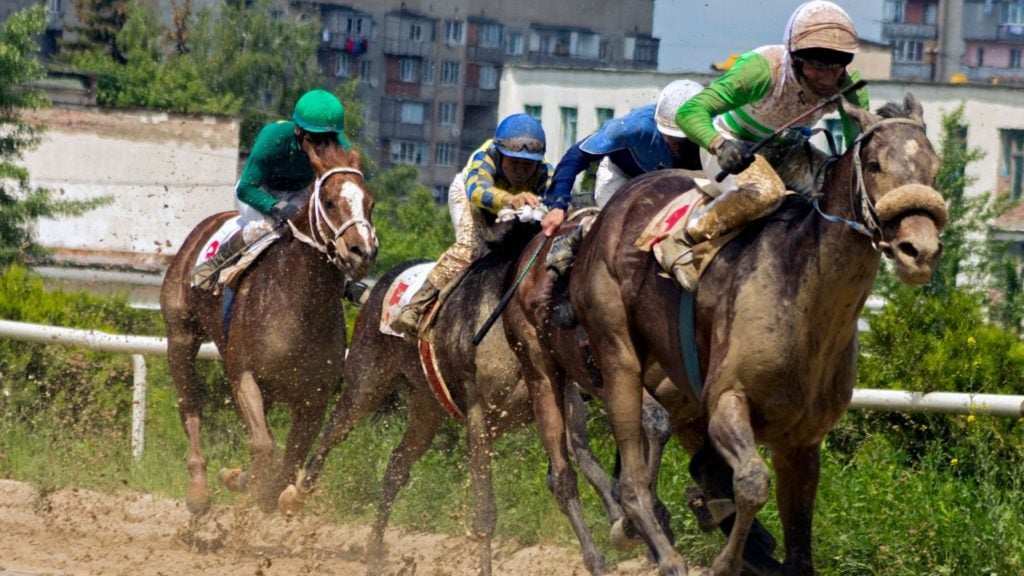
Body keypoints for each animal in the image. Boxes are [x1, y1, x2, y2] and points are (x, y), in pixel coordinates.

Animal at [161, 141, 378, 512]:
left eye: (370, 203)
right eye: (330, 201)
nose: (361, 251)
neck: (299, 310)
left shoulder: (314, 398)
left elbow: (289, 461)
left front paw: (261, 488)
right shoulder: (244, 375)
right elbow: (265, 449)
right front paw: (250, 489)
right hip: (181, 336)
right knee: (190, 406)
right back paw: (199, 490)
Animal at [565, 95, 946, 573]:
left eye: (935, 168)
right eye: (875, 164)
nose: (920, 251)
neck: (805, 304)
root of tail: (610, 212)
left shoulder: (802, 440)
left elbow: (797, 533)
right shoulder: (726, 400)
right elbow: (751, 481)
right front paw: (726, 561)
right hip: (617, 358)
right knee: (634, 479)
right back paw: (662, 550)